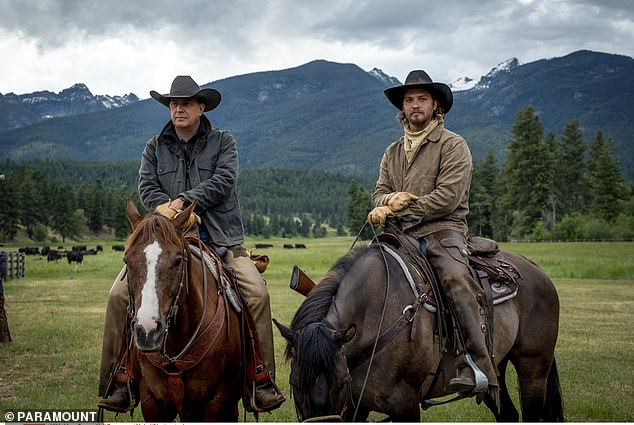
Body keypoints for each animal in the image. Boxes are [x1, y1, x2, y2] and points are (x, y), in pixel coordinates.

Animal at [274, 242, 560, 420]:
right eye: (293, 382)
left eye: (342, 381)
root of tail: (535, 269)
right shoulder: (356, 407)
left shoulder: (405, 406)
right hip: (495, 370)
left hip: (533, 369)